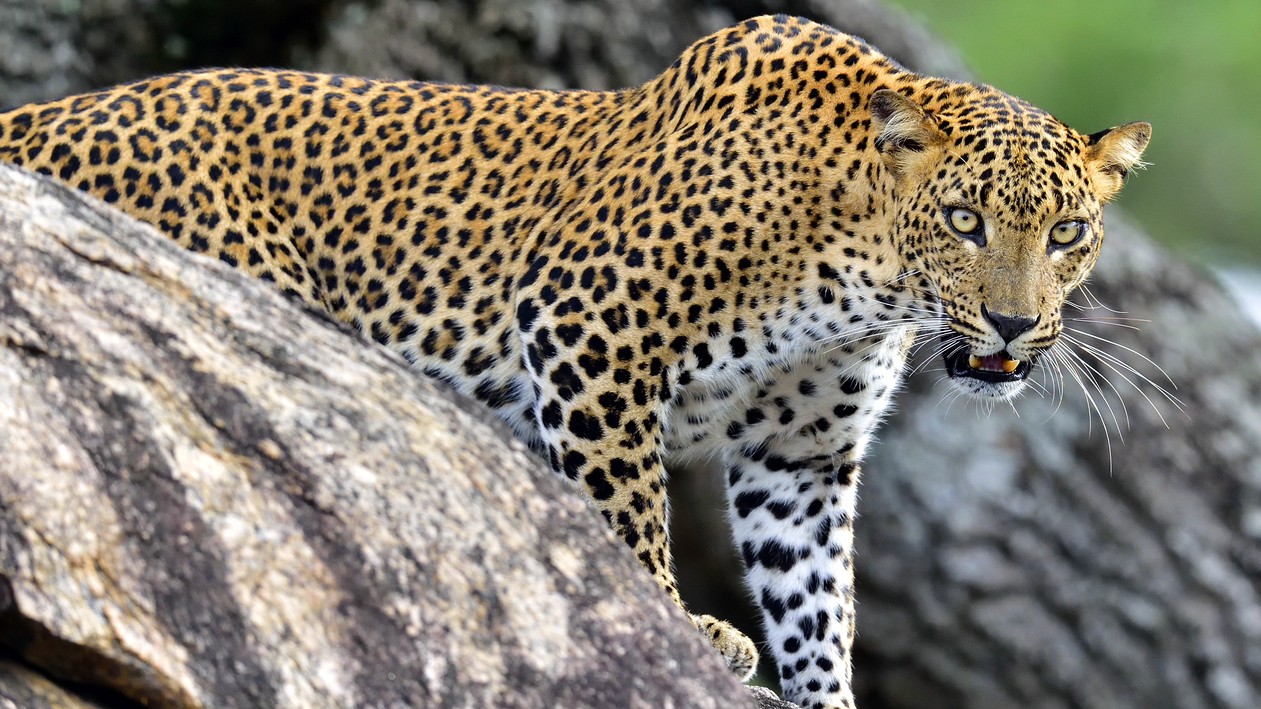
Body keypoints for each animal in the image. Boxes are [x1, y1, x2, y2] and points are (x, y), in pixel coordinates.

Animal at [0, 15, 1149, 708]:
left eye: (1067, 234)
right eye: (963, 222)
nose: (1011, 325)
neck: (862, 273)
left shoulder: (801, 454)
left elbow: (817, 599)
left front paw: (815, 688)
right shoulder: (592, 331)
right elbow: (626, 516)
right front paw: (682, 630)